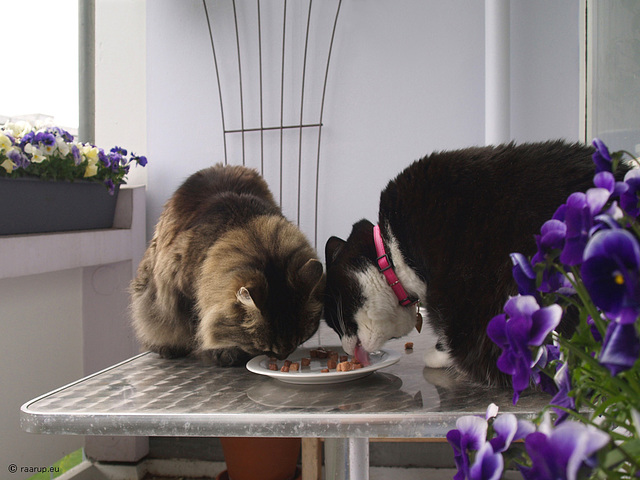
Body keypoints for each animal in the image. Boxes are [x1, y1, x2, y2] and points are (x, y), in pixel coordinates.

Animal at [131, 163, 324, 366]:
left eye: (300, 340)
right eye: (264, 347)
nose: (282, 357)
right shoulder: (182, 290)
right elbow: (200, 325)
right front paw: (222, 351)